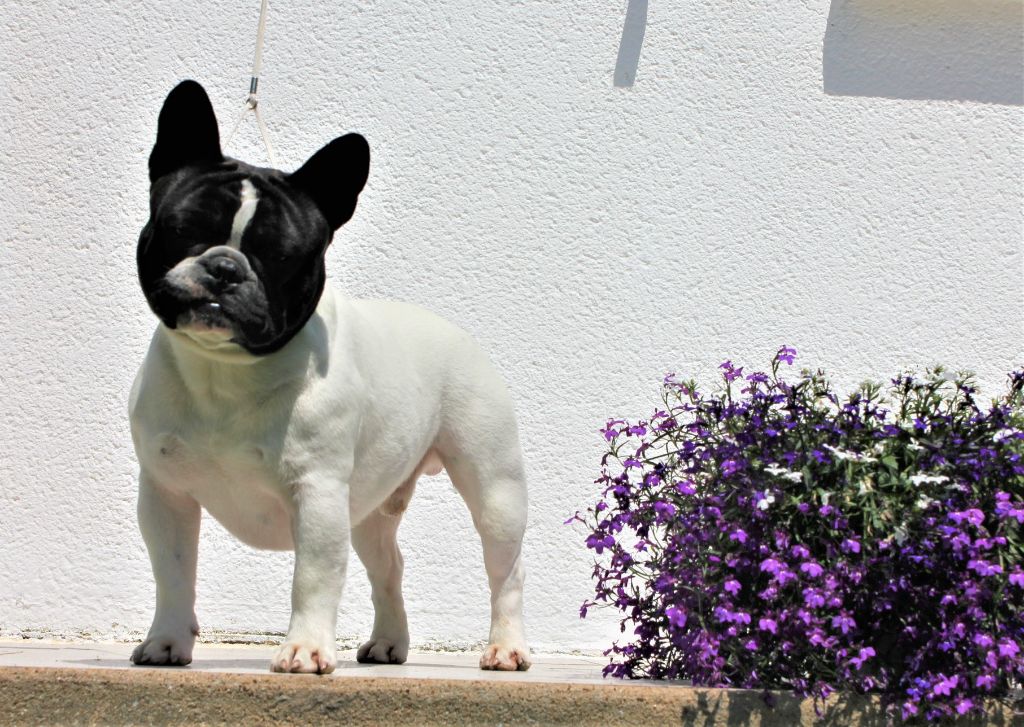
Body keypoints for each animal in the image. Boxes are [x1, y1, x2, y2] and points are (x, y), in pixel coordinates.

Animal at [128, 80, 530, 674]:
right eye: (183, 231)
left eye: (279, 255)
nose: (224, 267)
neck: (227, 371)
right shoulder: (166, 493)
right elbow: (172, 573)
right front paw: (167, 641)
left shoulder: (316, 492)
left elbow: (314, 577)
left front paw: (305, 649)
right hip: (365, 509)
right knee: (388, 566)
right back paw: (389, 643)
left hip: (494, 490)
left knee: (505, 569)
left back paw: (506, 646)